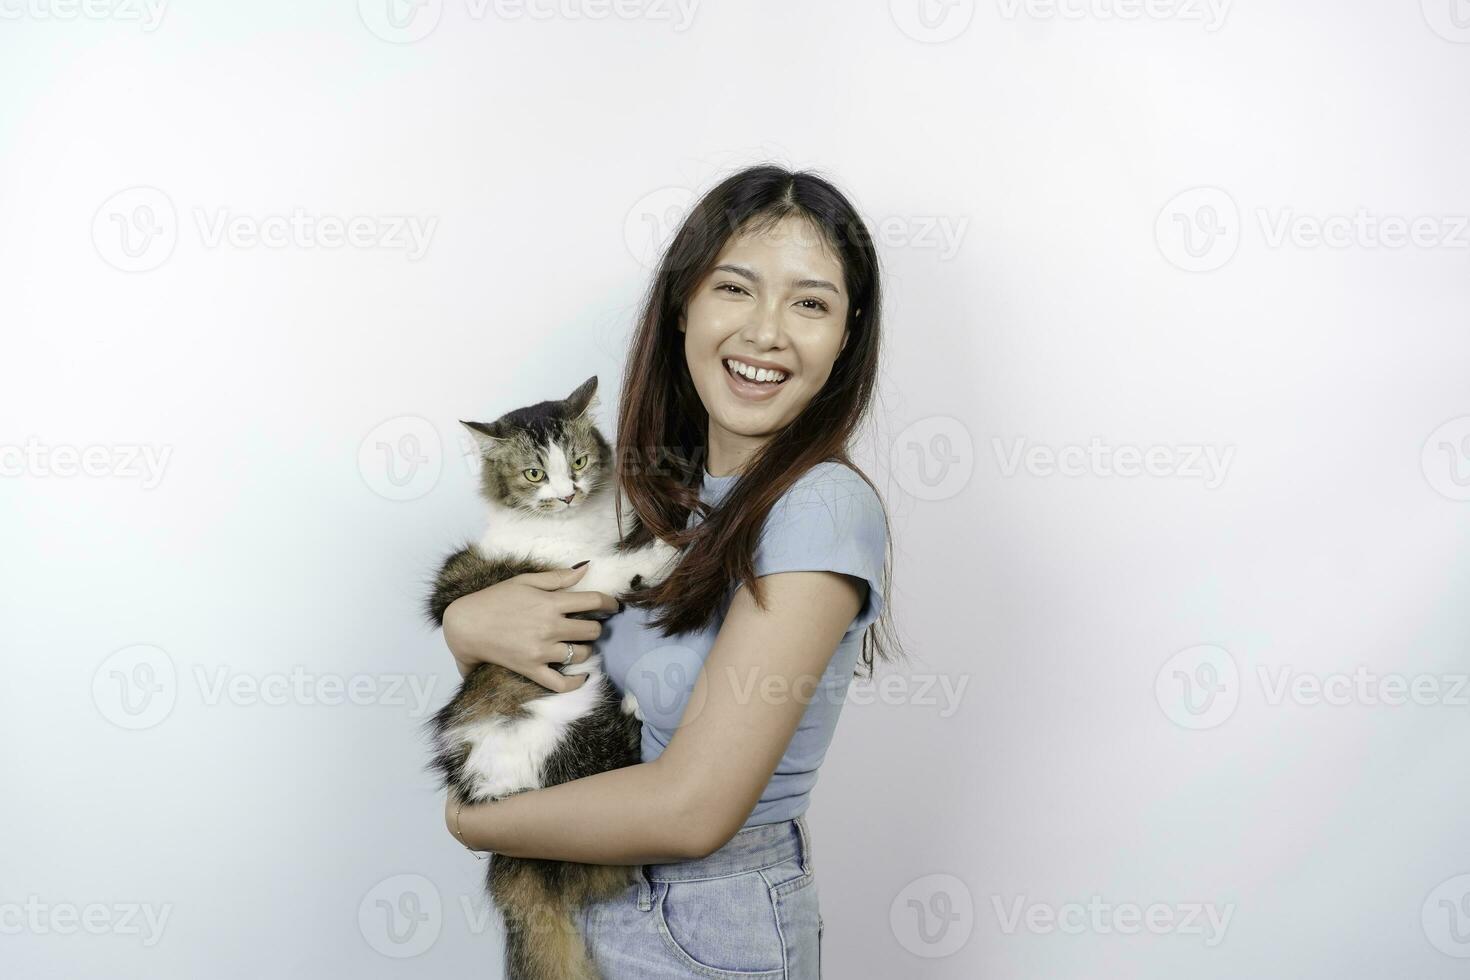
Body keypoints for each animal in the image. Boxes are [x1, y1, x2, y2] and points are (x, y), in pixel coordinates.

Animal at [423, 376, 679, 980]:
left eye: (579, 461)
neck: (572, 528)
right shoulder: (556, 581)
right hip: (566, 734)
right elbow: (606, 569)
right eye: (534, 473)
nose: (566, 494)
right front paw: (665, 550)